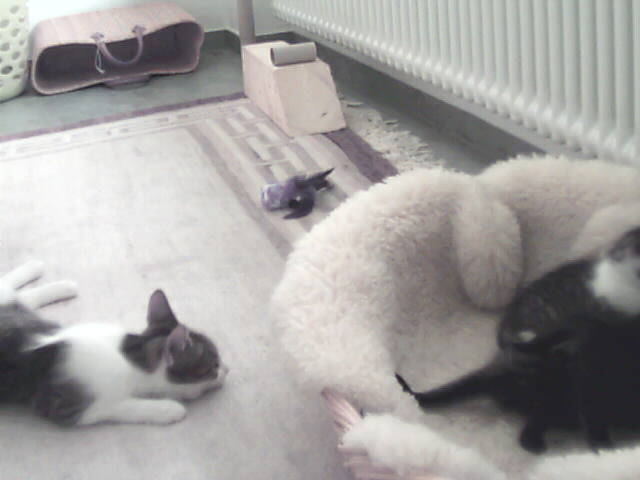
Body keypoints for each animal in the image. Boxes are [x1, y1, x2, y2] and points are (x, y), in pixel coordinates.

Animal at [0, 287, 228, 426]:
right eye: (213, 367)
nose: (227, 369)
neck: (128, 356)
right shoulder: (65, 408)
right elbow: (117, 406)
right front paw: (168, 409)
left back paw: (61, 285)